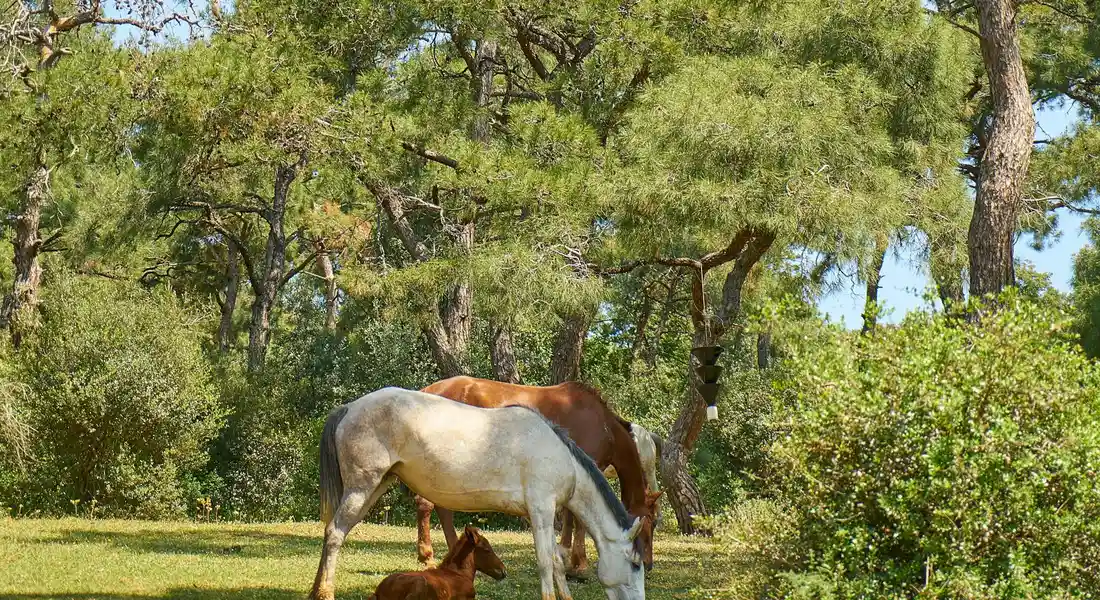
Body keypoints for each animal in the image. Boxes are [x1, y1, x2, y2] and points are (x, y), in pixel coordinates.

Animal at [413, 376, 661, 578]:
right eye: (650, 522)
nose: (648, 564)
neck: (603, 425)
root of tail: (428, 390)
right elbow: (578, 519)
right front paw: (579, 564)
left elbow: (570, 516)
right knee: (428, 504)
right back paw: (429, 555)